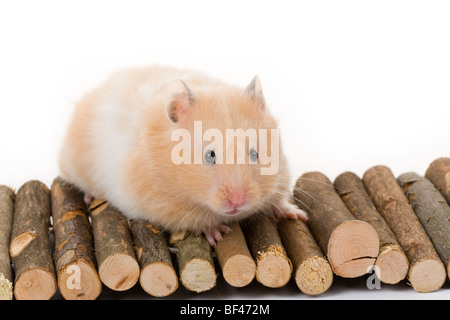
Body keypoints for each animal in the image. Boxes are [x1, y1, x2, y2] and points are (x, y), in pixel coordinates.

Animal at [58, 65, 308, 245]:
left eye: (255, 153)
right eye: (210, 155)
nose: (238, 202)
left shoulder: (281, 173)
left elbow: (278, 199)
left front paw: (298, 214)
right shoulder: (157, 202)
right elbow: (194, 219)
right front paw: (217, 233)